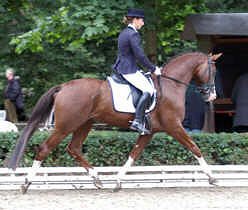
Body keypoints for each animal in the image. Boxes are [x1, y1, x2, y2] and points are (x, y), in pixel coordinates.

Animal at [7, 51, 221, 193]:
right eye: (213, 70)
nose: (212, 96)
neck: (170, 85)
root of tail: (63, 87)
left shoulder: (149, 131)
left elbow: (134, 154)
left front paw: (118, 181)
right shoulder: (174, 126)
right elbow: (195, 148)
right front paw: (212, 177)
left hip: (85, 124)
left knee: (74, 148)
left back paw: (97, 179)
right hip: (66, 126)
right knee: (45, 148)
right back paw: (26, 183)